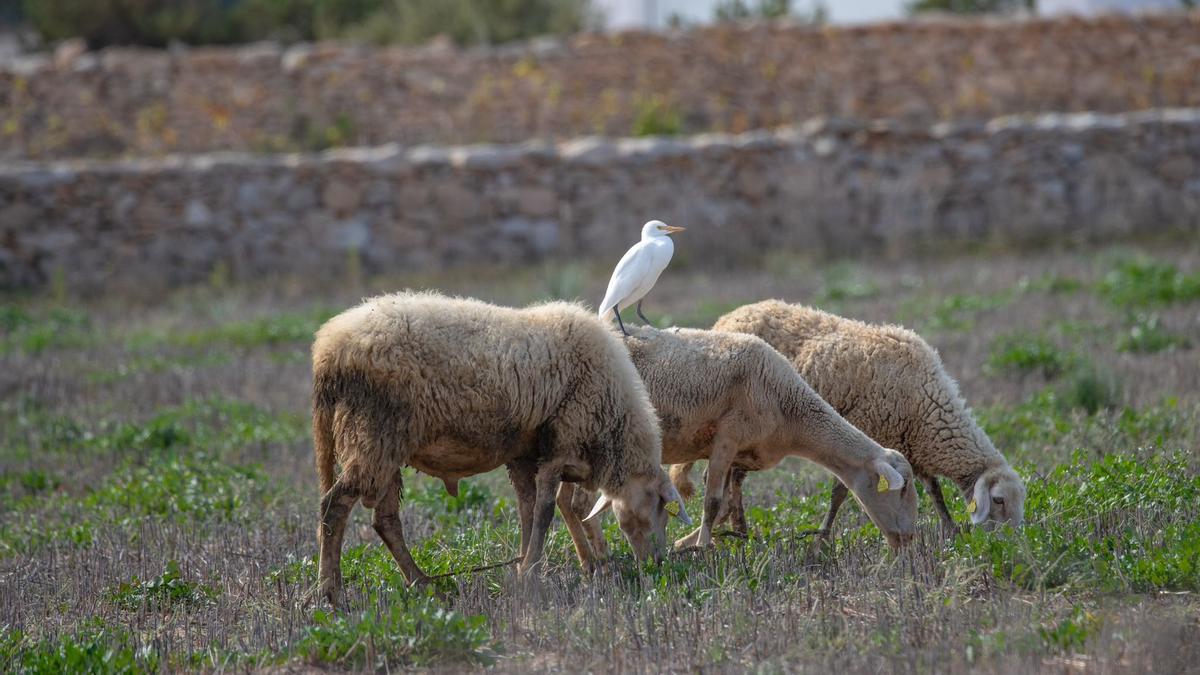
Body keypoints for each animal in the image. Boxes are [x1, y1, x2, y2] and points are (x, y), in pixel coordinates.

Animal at [311, 291, 688, 606]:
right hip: (374, 434)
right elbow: (544, 512)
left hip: (383, 445)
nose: (657, 565)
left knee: (385, 520)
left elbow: (527, 510)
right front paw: (530, 574)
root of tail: (328, 353)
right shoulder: (558, 447)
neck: (612, 422)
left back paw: (423, 584)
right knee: (334, 506)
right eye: (660, 508)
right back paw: (332, 593)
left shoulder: (523, 455)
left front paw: (522, 568)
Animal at [563, 325, 917, 568]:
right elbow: (713, 503)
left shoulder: (739, 454)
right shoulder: (727, 436)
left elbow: (725, 507)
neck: (789, 411)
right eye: (900, 490)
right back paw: (600, 560)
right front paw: (701, 548)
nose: (909, 541)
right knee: (579, 505)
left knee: (568, 503)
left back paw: (590, 561)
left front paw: (686, 542)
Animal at [701, 299, 1025, 535]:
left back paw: (732, 528)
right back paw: (736, 529)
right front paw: (822, 538)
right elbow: (839, 493)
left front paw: (951, 530)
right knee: (728, 478)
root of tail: (731, 315)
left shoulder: (912, 446)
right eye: (998, 500)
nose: (1009, 543)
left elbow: (935, 491)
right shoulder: (863, 439)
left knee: (731, 477)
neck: (927, 403)